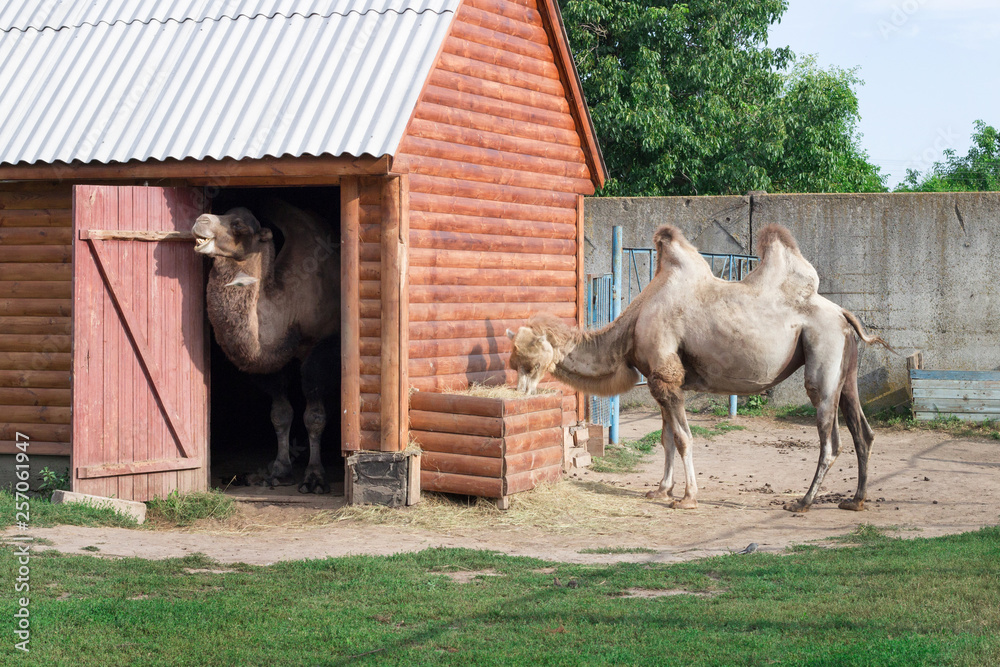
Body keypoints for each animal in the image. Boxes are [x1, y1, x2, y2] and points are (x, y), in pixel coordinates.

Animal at [192, 200, 339, 493]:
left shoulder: (322, 345)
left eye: (238, 224)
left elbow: (314, 416)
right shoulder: (271, 364)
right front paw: (280, 471)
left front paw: (314, 478)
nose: (200, 219)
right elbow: (280, 414)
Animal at [507, 224, 893, 512]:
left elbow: (682, 438)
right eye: (514, 361)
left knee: (830, 439)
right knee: (862, 430)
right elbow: (665, 438)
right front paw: (661, 490)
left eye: (527, 360)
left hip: (822, 355)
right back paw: (855, 500)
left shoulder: (666, 377)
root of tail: (844, 314)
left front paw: (687, 498)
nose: (519, 392)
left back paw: (803, 502)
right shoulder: (660, 382)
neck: (633, 325)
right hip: (846, 370)